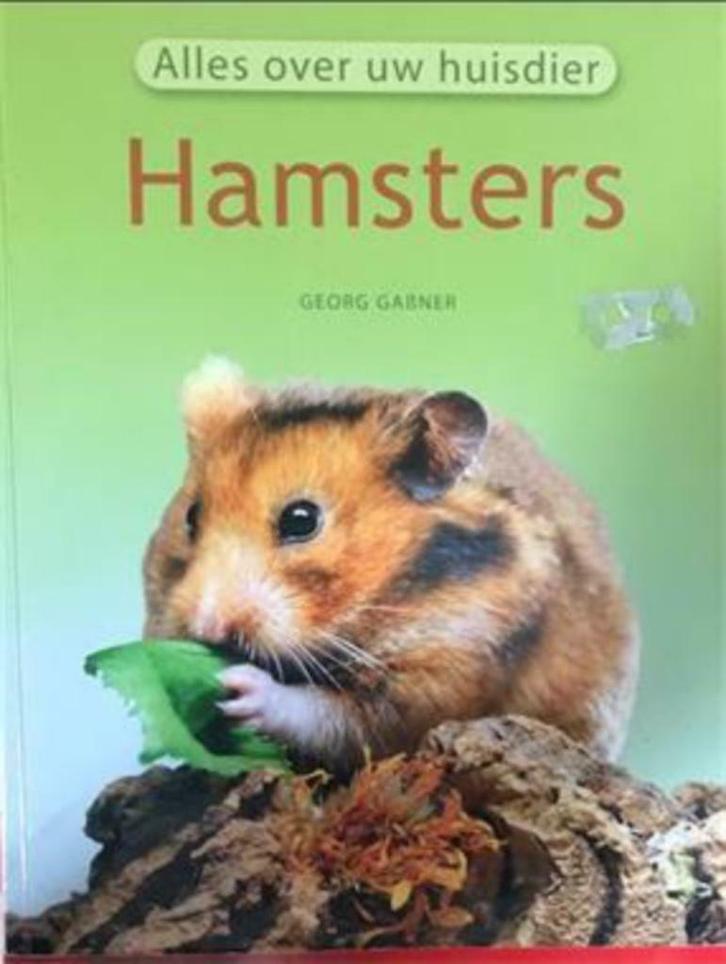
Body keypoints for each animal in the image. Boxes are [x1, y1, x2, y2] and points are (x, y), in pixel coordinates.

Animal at [143, 357, 639, 772]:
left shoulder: (450, 670)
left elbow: (338, 719)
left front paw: (242, 688)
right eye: (192, 516)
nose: (205, 628)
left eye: (302, 520)